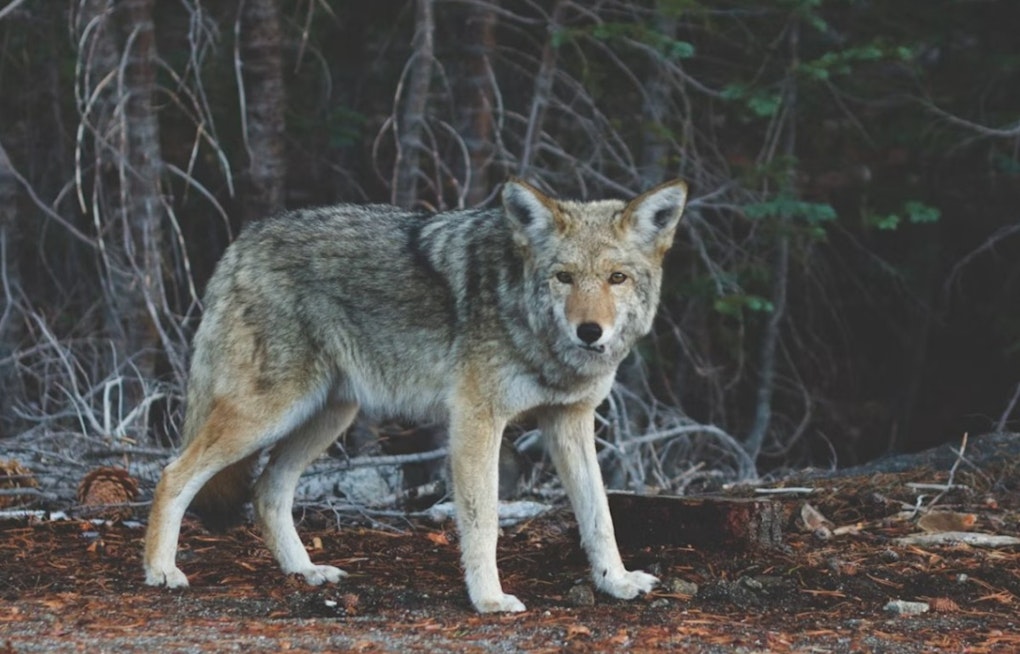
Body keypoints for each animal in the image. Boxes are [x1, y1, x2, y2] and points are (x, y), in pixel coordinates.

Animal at [143, 177, 689, 613]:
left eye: (617, 278)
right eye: (564, 277)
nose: (590, 331)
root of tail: (243, 241)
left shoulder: (569, 421)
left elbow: (600, 515)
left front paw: (616, 582)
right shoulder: (476, 421)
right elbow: (484, 520)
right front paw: (489, 600)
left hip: (327, 417)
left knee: (267, 490)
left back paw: (306, 572)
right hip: (269, 414)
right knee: (173, 474)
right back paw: (161, 571)